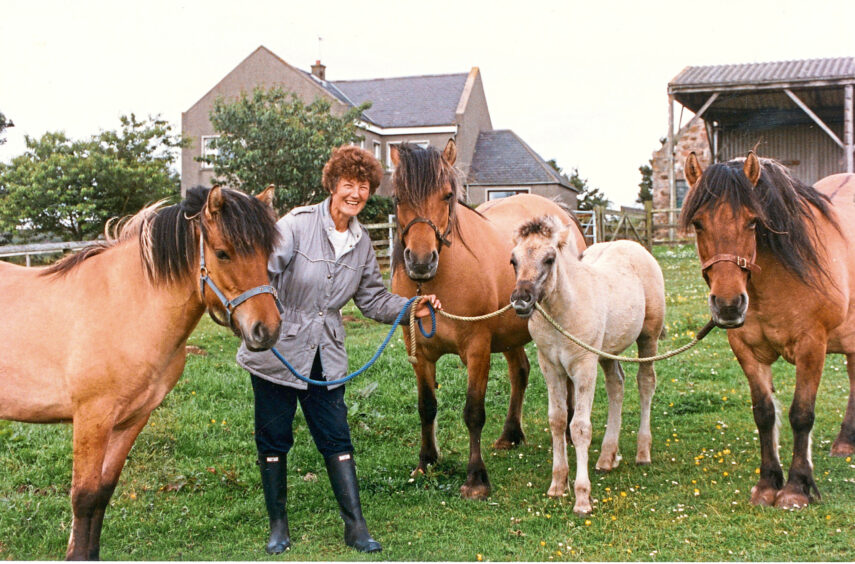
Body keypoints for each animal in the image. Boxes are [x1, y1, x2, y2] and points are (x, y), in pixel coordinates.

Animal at [0, 186, 282, 560]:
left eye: (267, 253)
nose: (267, 330)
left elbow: (102, 494)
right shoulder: (92, 418)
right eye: (223, 253)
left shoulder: (132, 419)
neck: (126, 306)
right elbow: (83, 498)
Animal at [392, 141, 588, 498]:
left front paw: (476, 479)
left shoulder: (477, 348)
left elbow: (473, 412)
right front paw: (426, 462)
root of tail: (561, 213)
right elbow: (426, 406)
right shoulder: (420, 353)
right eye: (398, 197)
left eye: (447, 195)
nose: (422, 261)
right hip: (512, 331)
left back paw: (567, 430)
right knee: (520, 372)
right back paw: (511, 434)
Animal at [684, 152, 855, 508]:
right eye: (698, 223)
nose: (728, 305)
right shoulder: (747, 350)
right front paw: (767, 485)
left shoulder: (811, 346)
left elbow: (801, 414)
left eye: (752, 221)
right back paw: (846, 441)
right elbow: (764, 413)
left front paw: (796, 488)